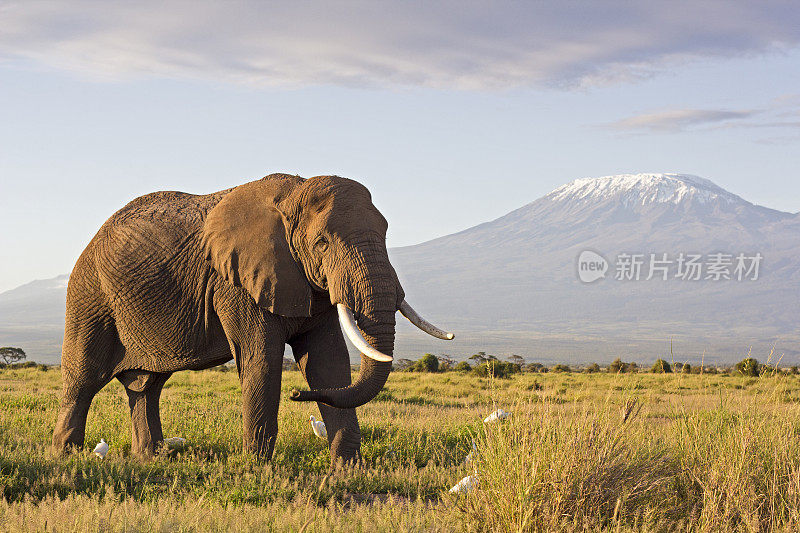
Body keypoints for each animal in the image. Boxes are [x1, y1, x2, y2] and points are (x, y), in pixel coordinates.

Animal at [53, 174, 454, 462]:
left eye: (386, 234)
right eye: (322, 244)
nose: (297, 393)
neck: (292, 196)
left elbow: (328, 364)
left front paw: (347, 471)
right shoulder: (236, 283)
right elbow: (261, 358)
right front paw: (257, 470)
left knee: (146, 386)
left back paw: (149, 459)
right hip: (90, 296)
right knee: (82, 379)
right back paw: (66, 457)